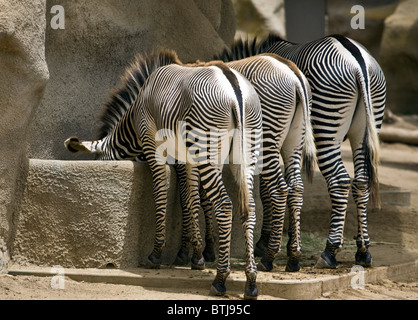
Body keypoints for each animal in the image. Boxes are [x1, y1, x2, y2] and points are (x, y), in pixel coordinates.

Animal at [62, 48, 262, 298]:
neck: (135, 111)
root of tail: (232, 83)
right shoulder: (188, 157)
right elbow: (191, 198)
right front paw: (196, 256)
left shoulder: (152, 143)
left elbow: (161, 193)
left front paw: (157, 253)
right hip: (245, 149)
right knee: (249, 207)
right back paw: (251, 282)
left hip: (208, 147)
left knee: (224, 204)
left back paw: (220, 279)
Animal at [175, 43, 316, 274]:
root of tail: (292, 73)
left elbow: (190, 195)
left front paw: (192, 251)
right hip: (296, 136)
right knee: (295, 186)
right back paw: (293, 257)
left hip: (267, 136)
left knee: (280, 189)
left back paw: (269, 257)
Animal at [255, 33, 388, 268]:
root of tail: (358, 62)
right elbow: (291, 185)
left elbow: (268, 189)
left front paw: (265, 242)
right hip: (367, 124)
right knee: (361, 181)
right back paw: (363, 251)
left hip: (327, 120)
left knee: (340, 180)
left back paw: (329, 252)